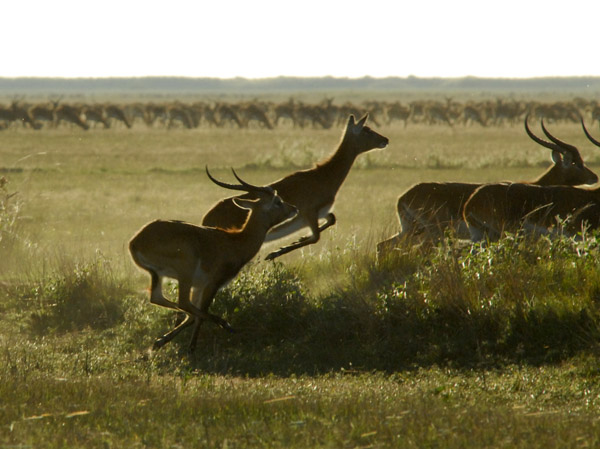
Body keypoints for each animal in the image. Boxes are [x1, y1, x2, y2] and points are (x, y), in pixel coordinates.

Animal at [127, 166, 296, 352]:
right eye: (278, 201)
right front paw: (191, 349)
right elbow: (200, 314)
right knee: (183, 304)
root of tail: (136, 240)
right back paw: (225, 326)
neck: (235, 241)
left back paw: (159, 342)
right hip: (186, 270)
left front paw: (162, 342)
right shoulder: (213, 283)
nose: (294, 208)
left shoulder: (199, 286)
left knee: (161, 299)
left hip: (158, 274)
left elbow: (194, 315)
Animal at [202, 113, 390, 260]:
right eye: (366, 129)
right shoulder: (309, 214)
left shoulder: (321, 213)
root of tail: (206, 219)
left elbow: (331, 219)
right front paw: (275, 252)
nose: (385, 140)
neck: (322, 176)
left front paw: (296, 240)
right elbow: (316, 237)